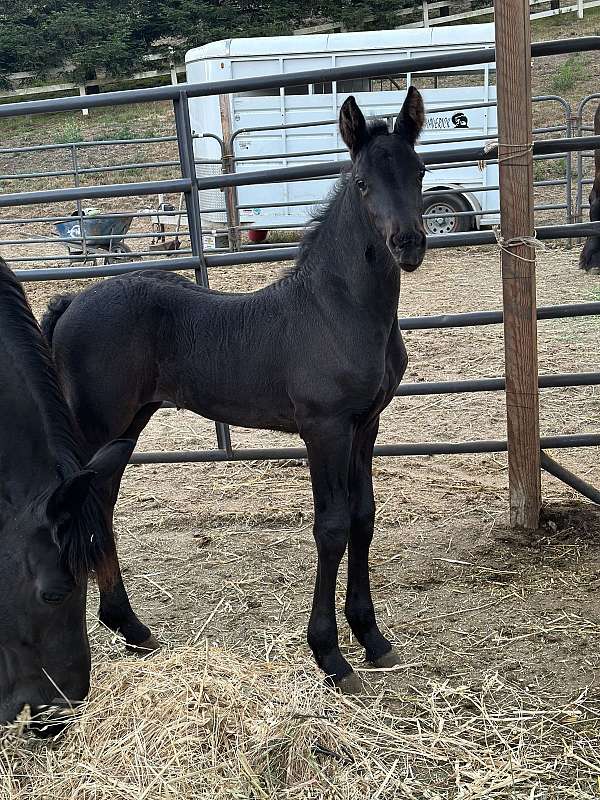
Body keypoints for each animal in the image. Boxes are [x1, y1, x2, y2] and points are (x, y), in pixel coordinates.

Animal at [42, 89, 426, 692]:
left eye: (419, 171)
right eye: (363, 182)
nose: (408, 244)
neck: (336, 308)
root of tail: (71, 301)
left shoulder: (366, 425)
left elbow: (363, 517)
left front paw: (372, 637)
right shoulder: (324, 429)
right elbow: (332, 526)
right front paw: (330, 655)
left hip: (128, 425)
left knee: (100, 502)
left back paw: (132, 629)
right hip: (98, 423)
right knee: (84, 504)